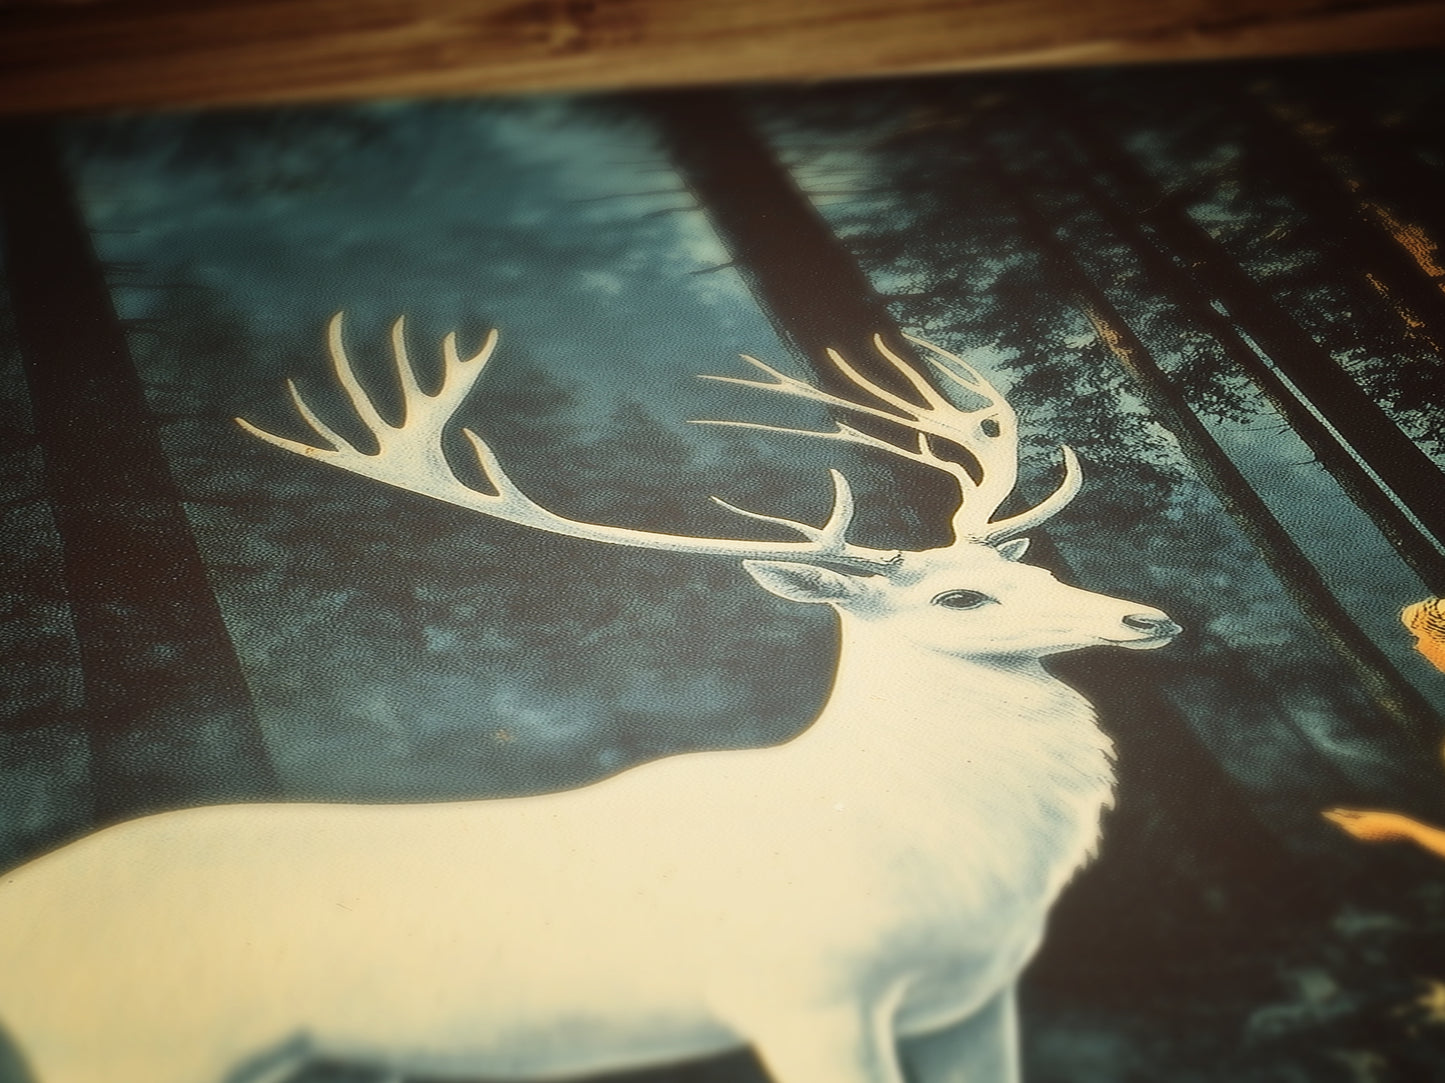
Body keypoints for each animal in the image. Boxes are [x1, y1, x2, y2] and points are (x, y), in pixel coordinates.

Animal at [0, 314, 1180, 1083]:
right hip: (138, 1044)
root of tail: (25, 898)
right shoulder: (803, 992)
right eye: (961, 594)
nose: (1146, 618)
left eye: (1038, 570)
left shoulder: (976, 1000)